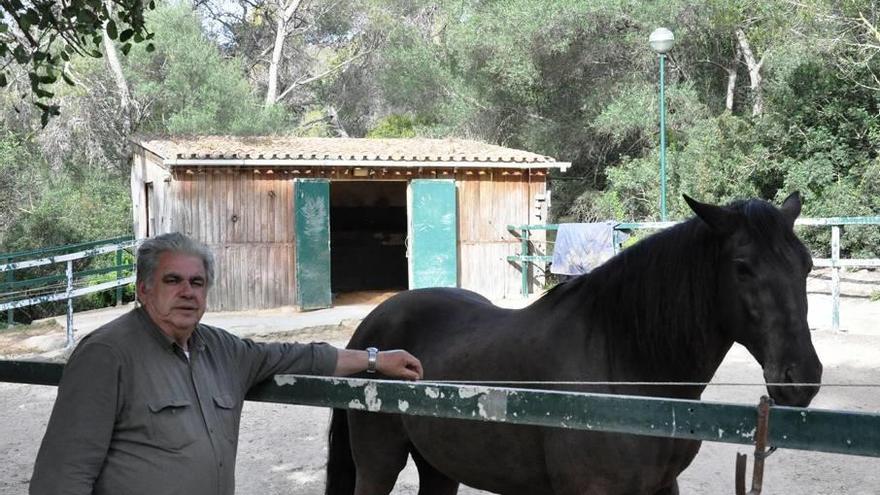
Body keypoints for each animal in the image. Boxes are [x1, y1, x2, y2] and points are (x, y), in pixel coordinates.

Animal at [326, 192, 820, 494]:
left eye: (806, 264)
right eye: (743, 267)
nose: (802, 379)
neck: (627, 370)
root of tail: (371, 331)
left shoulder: (662, 486)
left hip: (439, 467)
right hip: (380, 464)